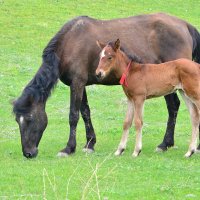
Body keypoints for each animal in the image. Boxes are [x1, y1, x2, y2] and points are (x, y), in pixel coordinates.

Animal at [12, 13, 200, 159]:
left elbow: (73, 115)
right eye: (17, 120)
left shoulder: (77, 83)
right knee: (174, 106)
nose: (28, 153)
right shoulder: (80, 84)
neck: (70, 43)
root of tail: (185, 25)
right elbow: (85, 112)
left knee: (176, 107)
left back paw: (172, 144)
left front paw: (69, 148)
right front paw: (90, 143)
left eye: (29, 119)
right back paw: (168, 144)